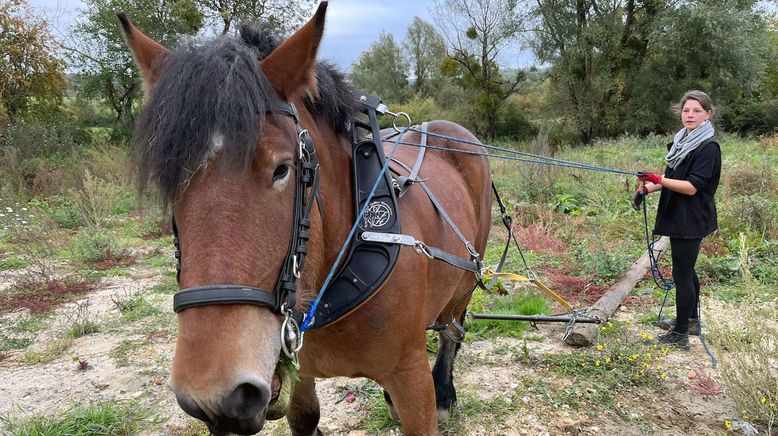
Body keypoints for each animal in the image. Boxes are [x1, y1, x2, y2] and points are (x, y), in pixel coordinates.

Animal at [119, 1, 488, 434]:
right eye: (169, 180)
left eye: (282, 169)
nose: (211, 396)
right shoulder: (300, 364)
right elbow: (305, 416)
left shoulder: (410, 376)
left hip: (467, 277)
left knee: (452, 330)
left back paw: (445, 387)